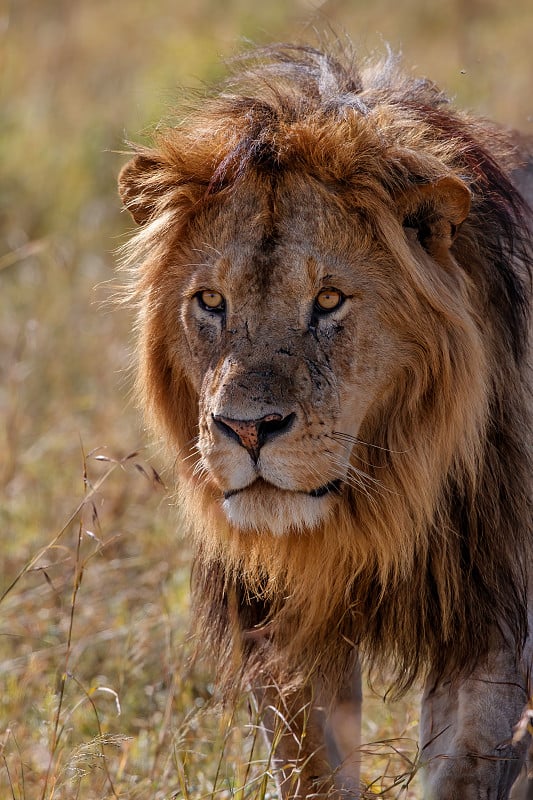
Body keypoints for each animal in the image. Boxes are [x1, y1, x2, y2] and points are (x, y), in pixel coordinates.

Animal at [118, 45, 528, 800]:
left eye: (330, 300)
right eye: (210, 301)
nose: (248, 429)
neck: (384, 499)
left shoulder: (494, 616)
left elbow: (467, 765)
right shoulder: (282, 626)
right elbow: (311, 768)